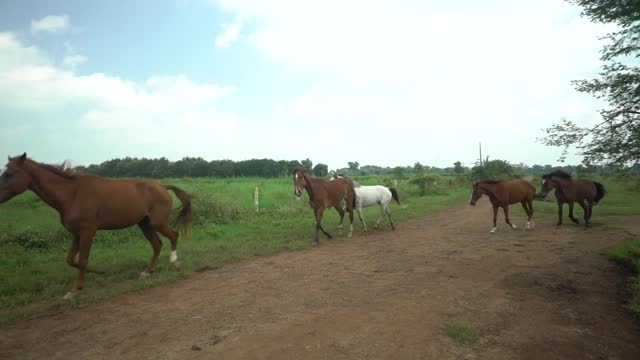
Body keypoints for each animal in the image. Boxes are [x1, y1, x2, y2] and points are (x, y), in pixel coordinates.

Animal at [0, 153, 192, 300]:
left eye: (10, 173)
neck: (72, 194)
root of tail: (163, 186)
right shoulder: (76, 233)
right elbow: (71, 260)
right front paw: (99, 271)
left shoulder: (87, 232)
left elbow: (82, 260)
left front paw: (76, 289)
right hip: (144, 224)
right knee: (157, 244)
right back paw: (148, 272)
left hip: (157, 222)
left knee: (173, 235)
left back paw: (174, 262)